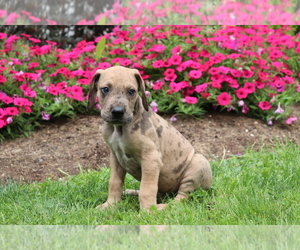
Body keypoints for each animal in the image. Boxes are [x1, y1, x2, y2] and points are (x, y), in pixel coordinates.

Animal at [87, 66, 213, 211]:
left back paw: (162, 207)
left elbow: (147, 189)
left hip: (198, 164)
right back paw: (132, 192)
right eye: (105, 89)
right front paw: (110, 205)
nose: (118, 112)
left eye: (131, 91)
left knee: (181, 198)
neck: (119, 129)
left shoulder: (151, 159)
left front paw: (147, 211)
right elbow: (114, 182)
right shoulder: (115, 158)